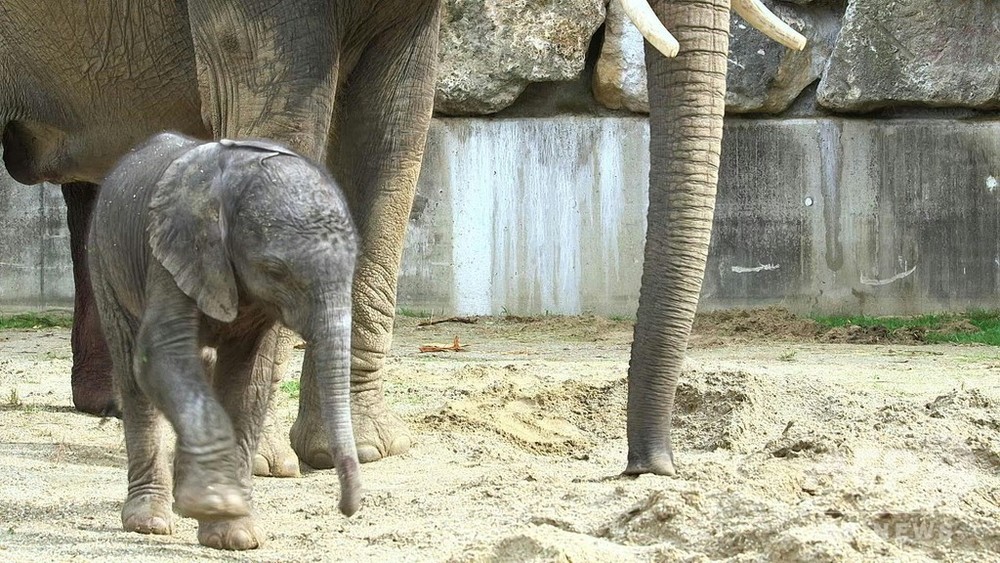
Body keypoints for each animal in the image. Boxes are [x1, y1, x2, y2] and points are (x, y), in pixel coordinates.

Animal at [86, 131, 360, 552]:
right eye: (275, 270)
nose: (347, 509)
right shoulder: (174, 250)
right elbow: (158, 358)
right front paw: (217, 505)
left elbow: (248, 381)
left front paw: (234, 532)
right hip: (104, 260)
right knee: (134, 374)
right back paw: (149, 521)